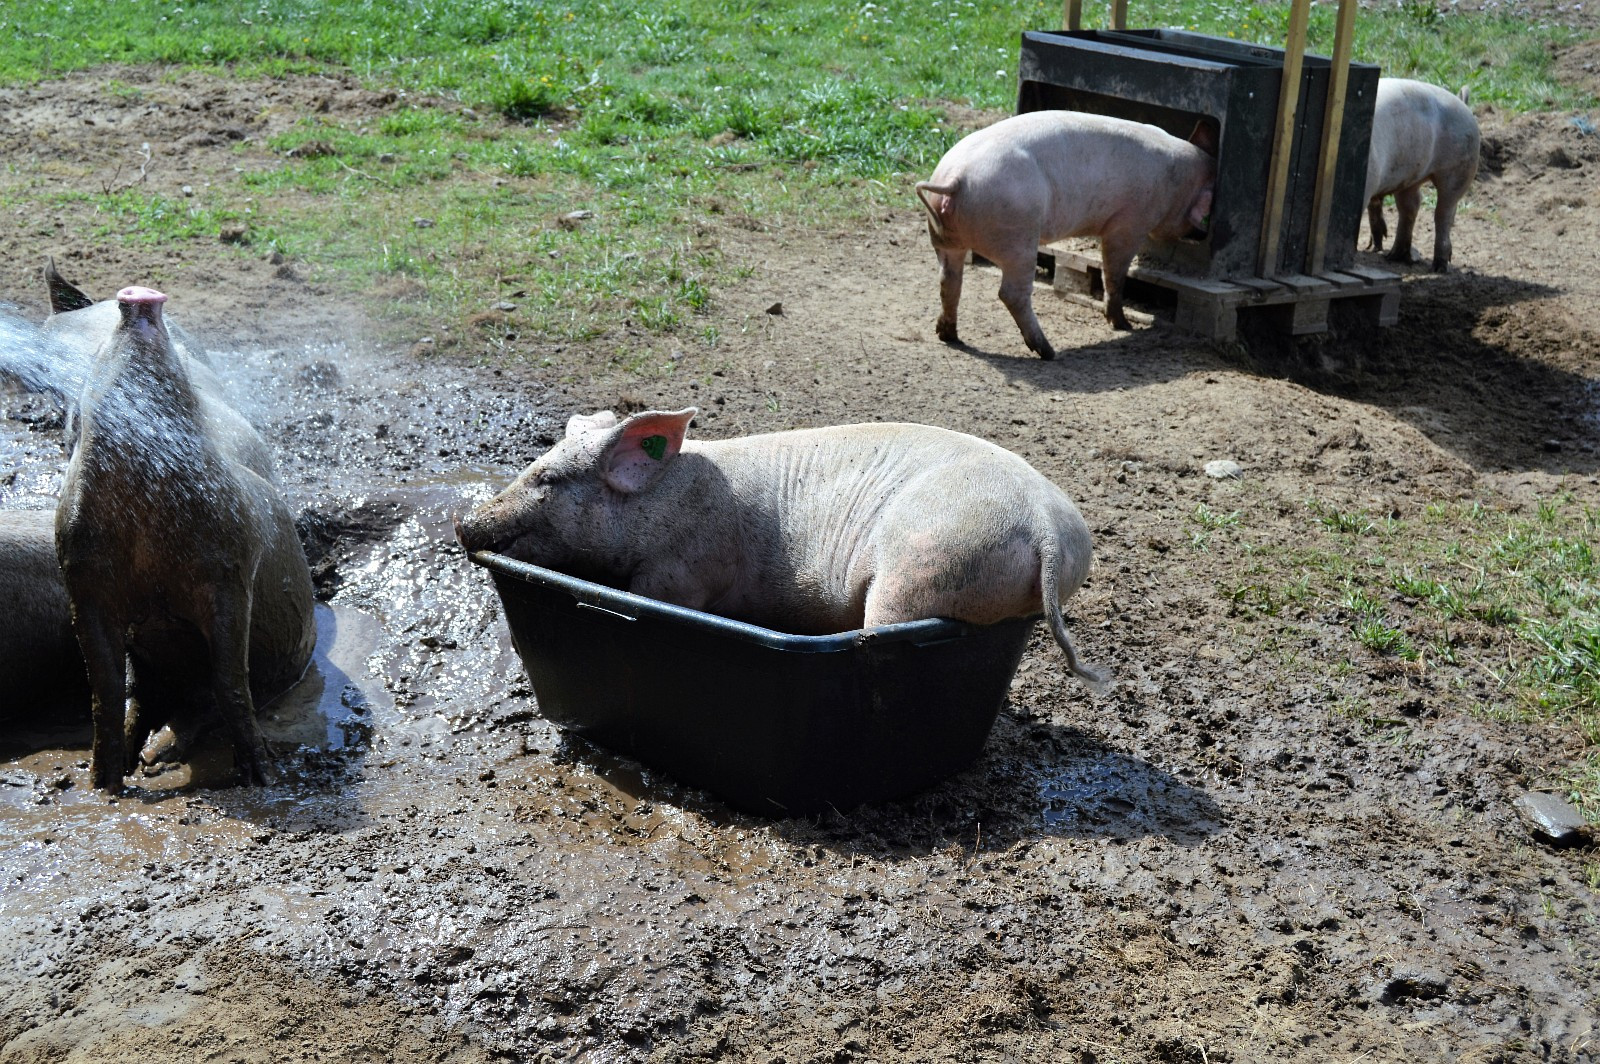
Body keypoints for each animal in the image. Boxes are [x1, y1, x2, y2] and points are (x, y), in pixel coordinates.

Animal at [54, 286, 315, 784]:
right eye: (96, 358)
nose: (137, 297)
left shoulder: (233, 563)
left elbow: (229, 678)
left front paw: (261, 778)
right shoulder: (80, 574)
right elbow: (105, 689)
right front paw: (103, 786)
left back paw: (158, 757)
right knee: (145, 698)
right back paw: (143, 759)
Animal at [464, 406, 1107, 688]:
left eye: (549, 479)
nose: (465, 525)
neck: (662, 500)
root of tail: (1043, 524)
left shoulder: (683, 571)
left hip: (920, 569)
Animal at [915, 111, 1209, 358]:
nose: (1202, 233)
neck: (1177, 183)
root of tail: (955, 178)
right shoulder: (1129, 223)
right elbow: (1114, 273)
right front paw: (1124, 326)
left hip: (945, 240)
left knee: (949, 281)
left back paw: (949, 336)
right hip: (1017, 238)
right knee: (1011, 294)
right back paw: (1048, 352)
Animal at [1363, 76, 1484, 270]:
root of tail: (1462, 103)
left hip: (1459, 169)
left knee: (1444, 213)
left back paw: (1439, 267)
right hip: (1410, 178)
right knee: (1410, 207)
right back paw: (1394, 256)